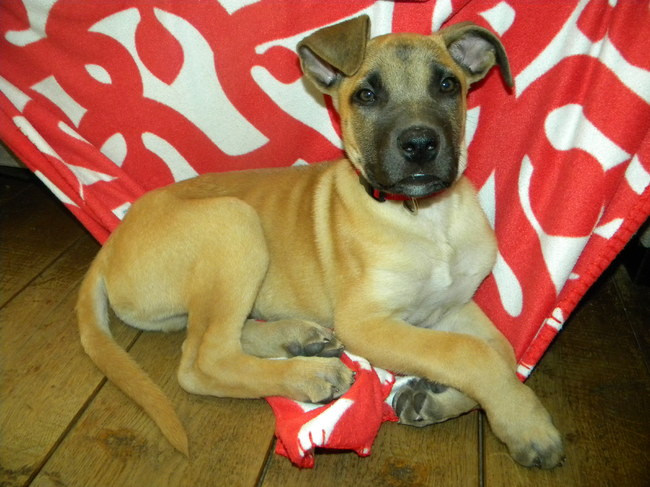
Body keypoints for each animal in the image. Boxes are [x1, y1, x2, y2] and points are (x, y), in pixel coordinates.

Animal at [77, 16, 564, 469]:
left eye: (447, 85)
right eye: (366, 96)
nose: (421, 145)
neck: (425, 218)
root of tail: (111, 243)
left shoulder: (453, 306)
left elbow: (501, 353)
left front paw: (433, 399)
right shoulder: (366, 322)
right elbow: (468, 352)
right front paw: (528, 426)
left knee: (216, 335)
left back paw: (299, 339)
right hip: (234, 222)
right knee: (203, 361)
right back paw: (309, 374)